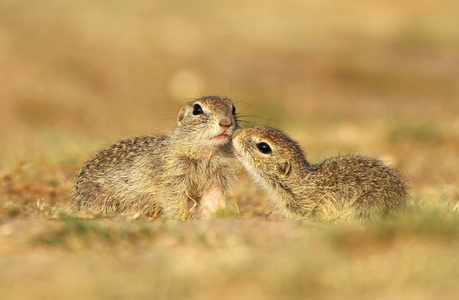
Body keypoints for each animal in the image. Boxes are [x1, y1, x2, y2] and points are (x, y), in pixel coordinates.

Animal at [71, 96, 241, 220]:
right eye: (197, 109)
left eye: (233, 108)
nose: (226, 123)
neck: (207, 155)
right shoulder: (171, 177)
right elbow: (173, 199)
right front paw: (181, 218)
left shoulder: (215, 179)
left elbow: (213, 199)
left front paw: (219, 215)